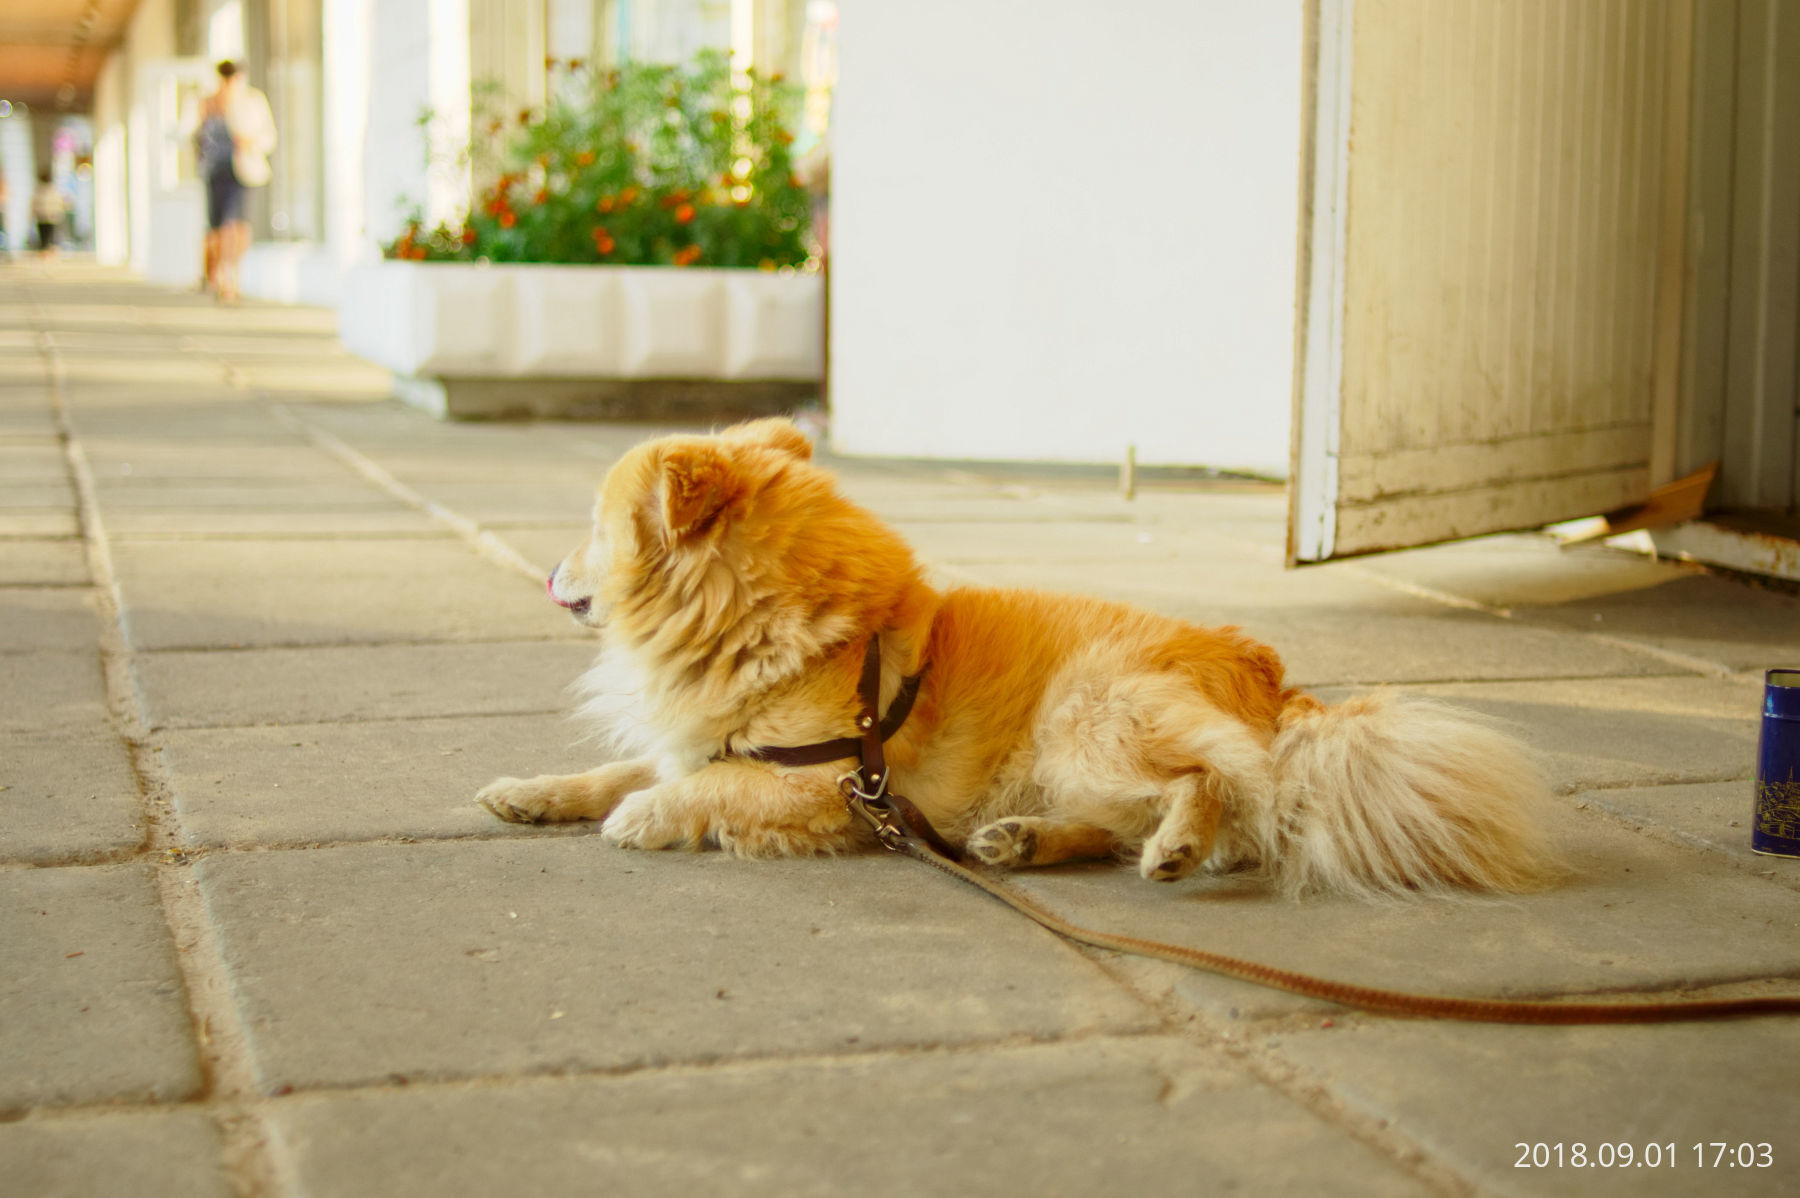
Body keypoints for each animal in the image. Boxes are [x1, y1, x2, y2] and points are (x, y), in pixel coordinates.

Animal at [478, 415, 1562, 892]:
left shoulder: (823, 784)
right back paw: (1026, 842)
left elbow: (701, 786)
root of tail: (1273, 679)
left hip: (1084, 716)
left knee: (1222, 787)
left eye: (593, 529)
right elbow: (620, 765)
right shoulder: (707, 738)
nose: (549, 570)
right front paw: (532, 792)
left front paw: (643, 816)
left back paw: (1177, 842)